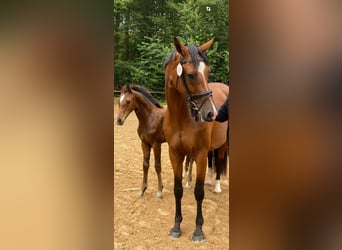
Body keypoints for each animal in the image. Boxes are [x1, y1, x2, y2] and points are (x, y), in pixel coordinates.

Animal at [164, 37, 219, 242]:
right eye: (190, 75)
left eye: (208, 71)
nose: (212, 113)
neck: (182, 118)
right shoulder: (175, 154)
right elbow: (177, 189)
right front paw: (176, 226)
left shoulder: (201, 154)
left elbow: (199, 192)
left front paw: (198, 230)